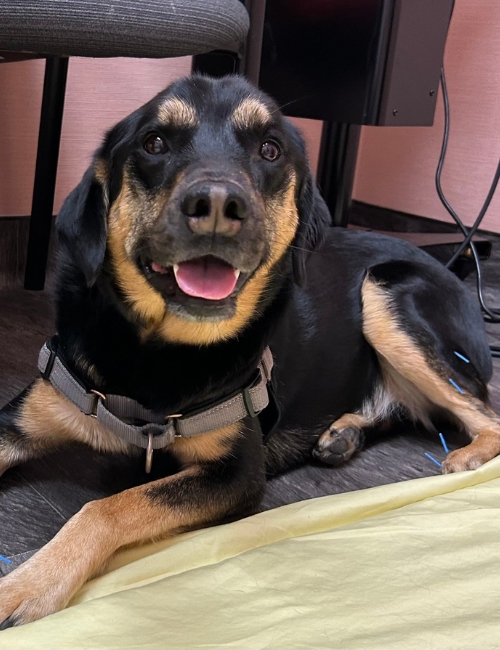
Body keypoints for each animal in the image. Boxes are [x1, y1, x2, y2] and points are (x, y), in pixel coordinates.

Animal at [0, 73, 500, 624]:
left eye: (270, 149)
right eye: (154, 143)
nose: (219, 204)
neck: (156, 354)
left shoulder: (235, 475)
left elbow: (109, 506)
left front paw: (27, 586)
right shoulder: (27, 413)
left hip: (386, 290)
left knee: (485, 414)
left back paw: (466, 457)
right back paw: (343, 433)